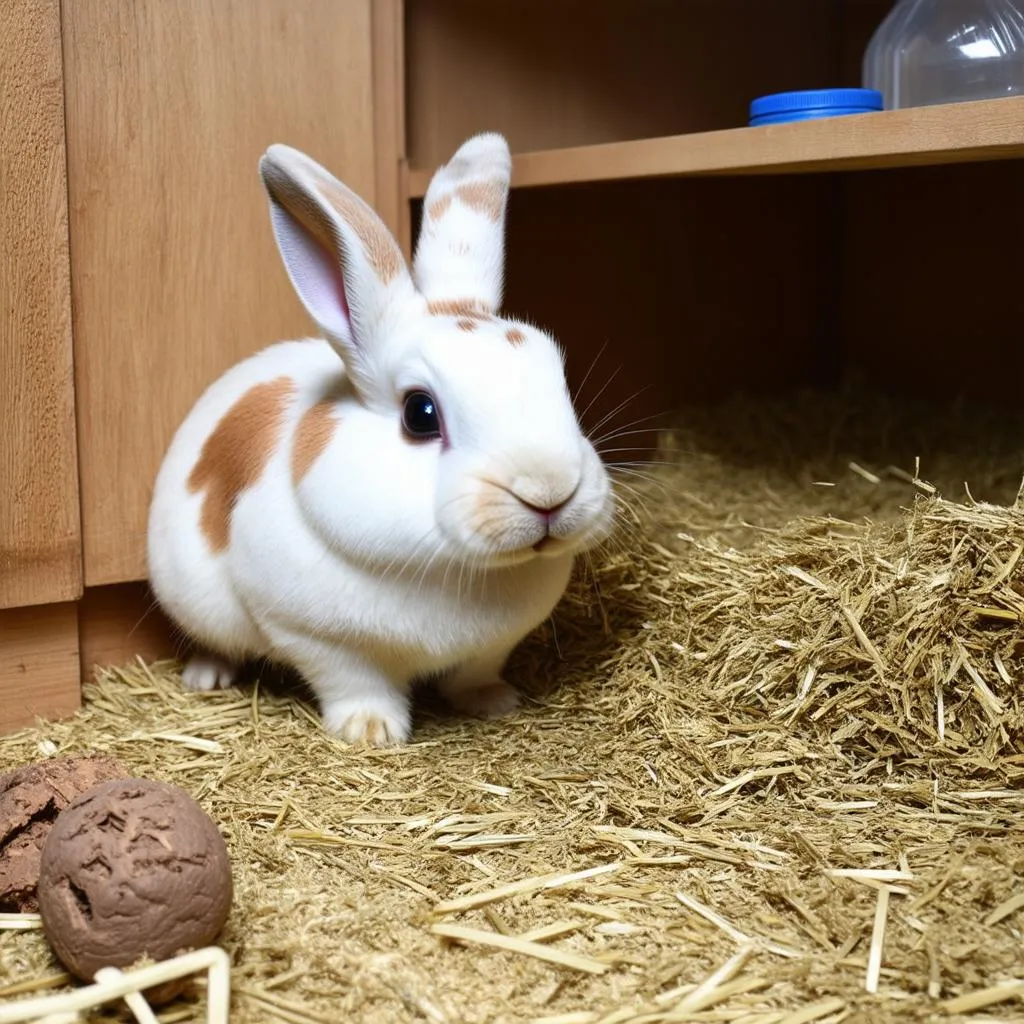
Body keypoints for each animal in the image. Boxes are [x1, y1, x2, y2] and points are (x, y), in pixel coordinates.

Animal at [145, 134, 614, 745]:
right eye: (420, 413)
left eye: (560, 381)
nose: (549, 489)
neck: (452, 571)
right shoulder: (313, 636)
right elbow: (353, 682)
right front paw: (371, 731)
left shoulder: (495, 643)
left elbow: (476, 671)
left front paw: (494, 702)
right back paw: (207, 676)